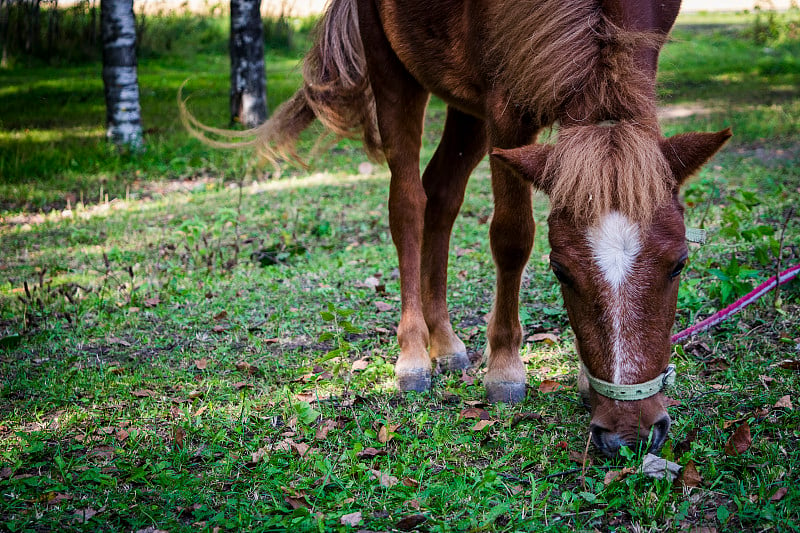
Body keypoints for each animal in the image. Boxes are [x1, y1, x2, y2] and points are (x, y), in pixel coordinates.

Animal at [183, 1, 732, 458]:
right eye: (560, 271)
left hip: (466, 104)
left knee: (442, 195)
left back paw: (444, 342)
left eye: (679, 264)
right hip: (398, 75)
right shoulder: (506, 103)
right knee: (409, 203)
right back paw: (415, 354)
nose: (629, 433)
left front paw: (580, 377)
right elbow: (511, 236)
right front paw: (505, 367)